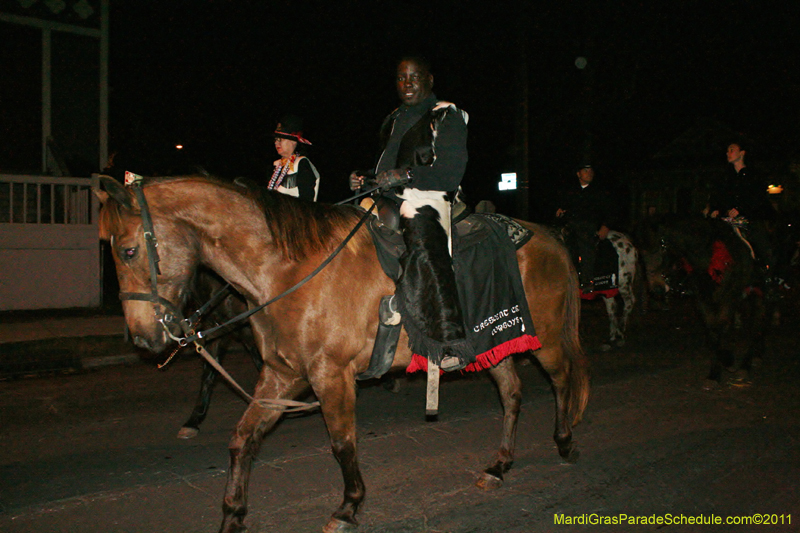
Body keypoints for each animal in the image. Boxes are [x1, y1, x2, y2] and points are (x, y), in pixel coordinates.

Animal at [97, 176, 592, 532]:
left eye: (129, 250)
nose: (143, 339)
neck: (288, 268)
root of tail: (549, 235)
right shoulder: (280, 375)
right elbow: (243, 439)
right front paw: (232, 514)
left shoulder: (329, 375)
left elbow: (342, 442)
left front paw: (349, 506)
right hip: (497, 344)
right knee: (512, 394)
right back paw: (500, 464)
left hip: (546, 339)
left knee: (562, 381)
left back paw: (566, 440)